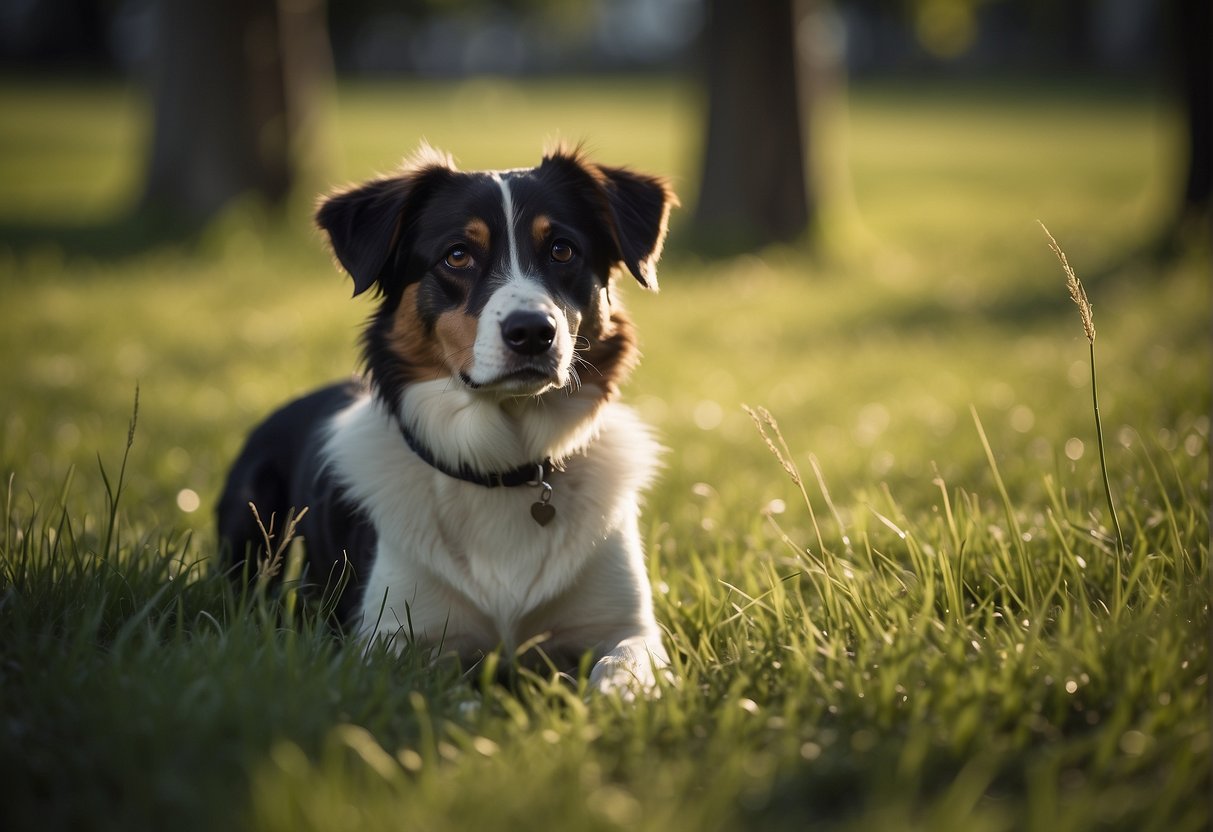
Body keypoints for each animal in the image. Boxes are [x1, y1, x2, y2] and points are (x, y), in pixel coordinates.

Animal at [214, 144, 679, 698]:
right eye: (457, 255)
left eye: (563, 250)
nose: (532, 332)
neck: (503, 472)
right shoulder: (388, 638)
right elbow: (442, 691)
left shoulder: (629, 627)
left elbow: (621, 671)